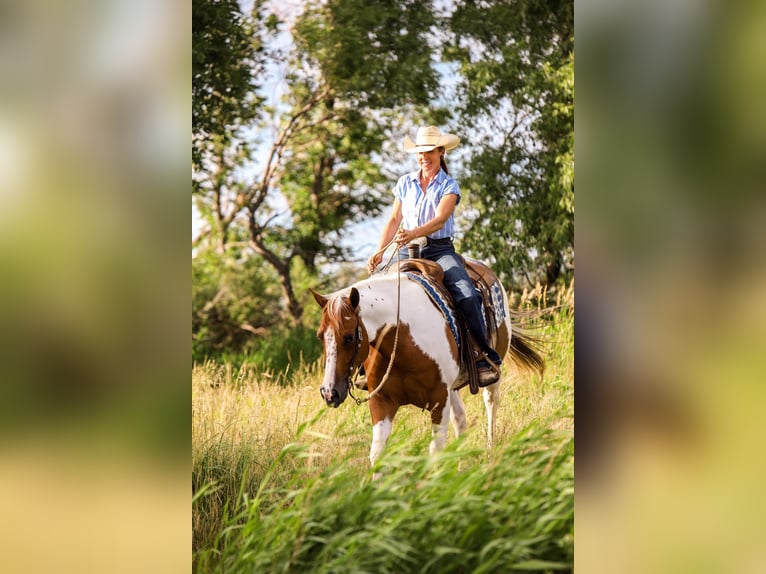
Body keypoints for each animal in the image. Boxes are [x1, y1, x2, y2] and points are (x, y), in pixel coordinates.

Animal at [308, 264, 544, 474]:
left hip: (493, 373)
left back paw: (489, 454)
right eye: (320, 336)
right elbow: (377, 453)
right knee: (460, 419)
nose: (329, 392)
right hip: (452, 388)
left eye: (349, 337)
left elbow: (435, 451)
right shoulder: (382, 400)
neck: (402, 338)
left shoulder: (439, 399)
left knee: (491, 406)